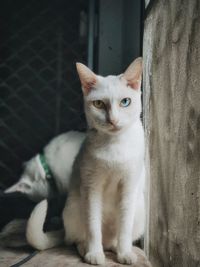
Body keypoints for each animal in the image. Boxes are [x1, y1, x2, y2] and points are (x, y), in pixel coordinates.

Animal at [27, 58, 145, 266]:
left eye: (125, 102)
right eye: (98, 104)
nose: (113, 120)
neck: (114, 144)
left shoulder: (129, 187)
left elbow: (124, 227)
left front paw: (125, 253)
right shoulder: (91, 187)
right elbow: (93, 226)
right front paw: (94, 254)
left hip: (139, 210)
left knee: (114, 239)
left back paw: (118, 248)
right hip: (74, 207)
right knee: (76, 239)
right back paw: (87, 249)